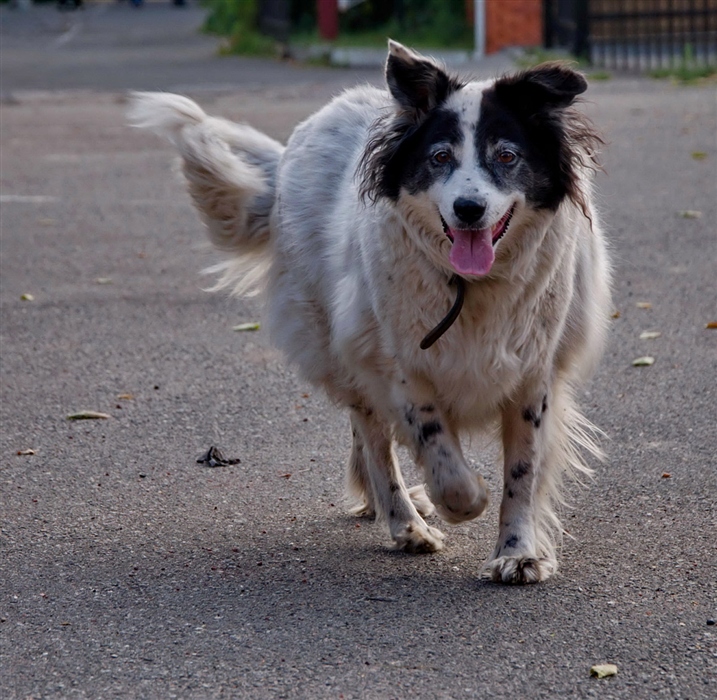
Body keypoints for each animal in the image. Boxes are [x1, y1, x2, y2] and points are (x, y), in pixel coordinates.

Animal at [130, 41, 608, 584]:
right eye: (439, 157)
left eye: (507, 156)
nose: (468, 208)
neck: (469, 284)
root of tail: (299, 140)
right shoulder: (396, 363)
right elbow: (445, 463)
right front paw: (461, 499)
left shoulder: (535, 373)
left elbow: (523, 472)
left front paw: (518, 553)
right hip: (337, 345)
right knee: (374, 438)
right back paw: (406, 522)